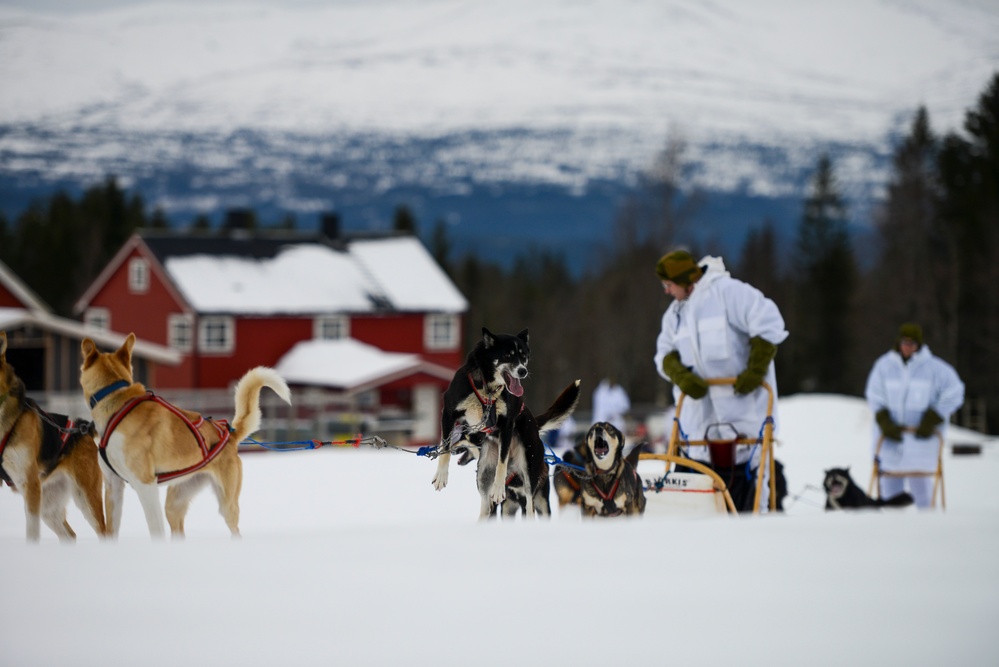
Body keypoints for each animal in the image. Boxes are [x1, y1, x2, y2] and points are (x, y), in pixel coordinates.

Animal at [0, 332, 108, 540]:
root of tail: (82, 428)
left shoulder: (29, 483)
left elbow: (32, 533)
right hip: (48, 506)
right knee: (70, 535)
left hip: (84, 498)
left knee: (104, 531)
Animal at [80, 332, 292, 540]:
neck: (115, 402)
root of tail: (229, 435)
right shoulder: (113, 486)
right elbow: (111, 531)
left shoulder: (145, 485)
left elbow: (155, 529)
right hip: (174, 503)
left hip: (226, 504)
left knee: (234, 529)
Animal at [430, 326, 580, 520]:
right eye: (508, 355)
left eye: (524, 356)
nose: (523, 371)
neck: (487, 389)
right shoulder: (449, 413)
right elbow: (445, 448)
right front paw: (441, 476)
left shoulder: (506, 426)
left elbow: (502, 462)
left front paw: (499, 489)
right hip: (484, 473)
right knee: (486, 504)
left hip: (529, 469)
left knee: (529, 506)